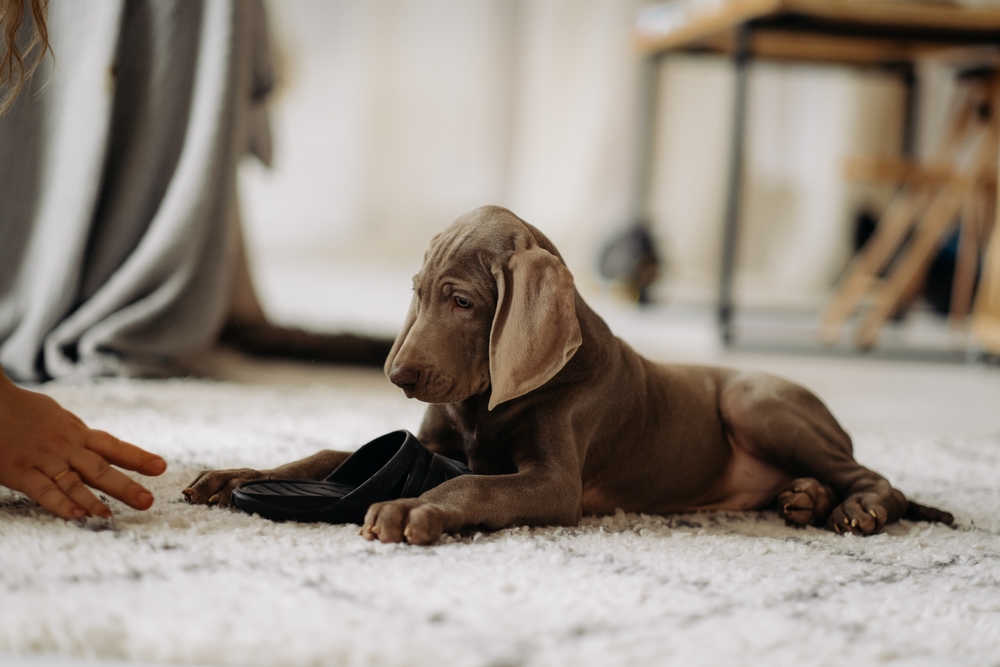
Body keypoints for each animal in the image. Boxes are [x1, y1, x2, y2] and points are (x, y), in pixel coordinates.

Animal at [184, 207, 956, 544]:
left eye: (462, 302)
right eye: (419, 293)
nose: (397, 372)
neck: (485, 404)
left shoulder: (555, 484)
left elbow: (473, 485)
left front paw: (411, 508)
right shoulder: (433, 441)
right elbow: (324, 453)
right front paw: (231, 475)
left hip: (755, 399)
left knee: (876, 477)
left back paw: (854, 509)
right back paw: (803, 499)